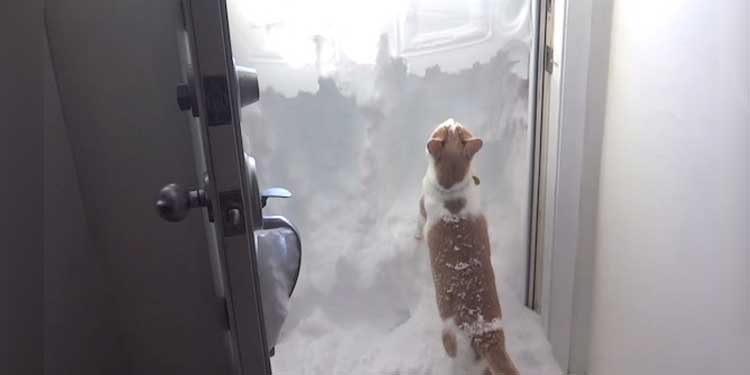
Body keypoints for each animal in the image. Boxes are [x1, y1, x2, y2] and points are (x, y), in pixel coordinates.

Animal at [420, 119, 520, 375]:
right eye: (453, 126)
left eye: (443, 127)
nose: (451, 119)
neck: (451, 188)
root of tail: (484, 335)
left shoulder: (421, 207)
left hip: (453, 346)